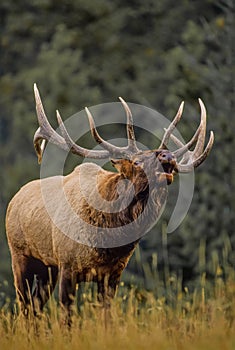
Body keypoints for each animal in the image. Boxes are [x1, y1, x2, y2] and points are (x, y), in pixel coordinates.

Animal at [6, 84, 214, 314]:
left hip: (47, 268)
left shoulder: (112, 273)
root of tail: (14, 200)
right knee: (24, 306)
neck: (108, 243)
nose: (168, 156)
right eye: (137, 162)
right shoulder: (67, 266)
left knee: (36, 306)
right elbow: (66, 317)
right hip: (20, 256)